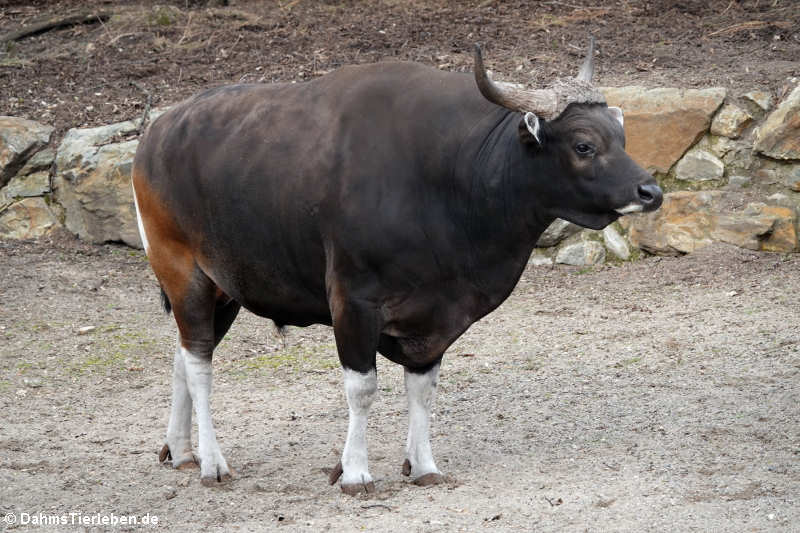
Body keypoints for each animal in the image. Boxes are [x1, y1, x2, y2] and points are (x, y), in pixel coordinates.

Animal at [133, 39, 664, 492]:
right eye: (583, 145)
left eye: (620, 136)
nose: (651, 192)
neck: (450, 180)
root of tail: (154, 135)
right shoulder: (353, 301)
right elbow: (362, 388)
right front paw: (355, 473)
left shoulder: (435, 315)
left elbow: (423, 390)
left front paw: (424, 465)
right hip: (182, 271)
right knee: (200, 362)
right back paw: (212, 462)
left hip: (224, 287)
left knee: (184, 353)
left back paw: (181, 451)